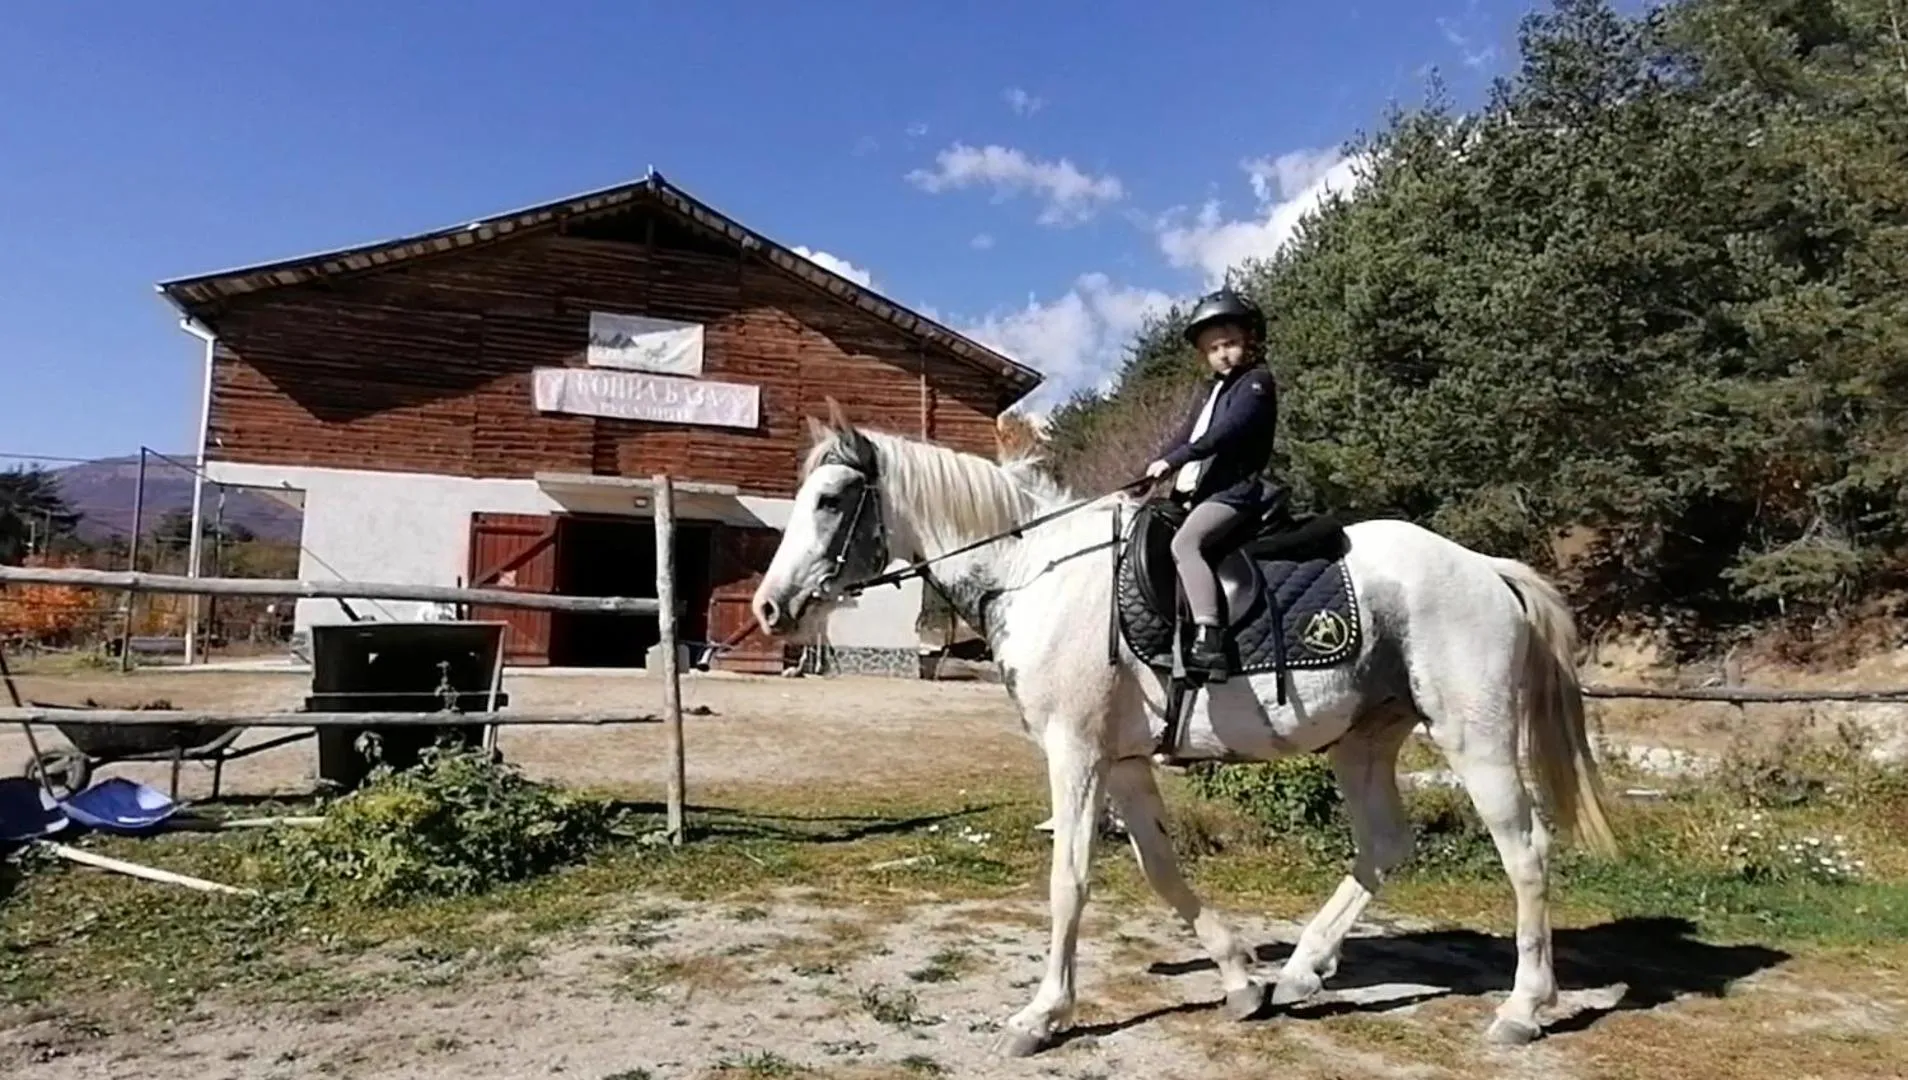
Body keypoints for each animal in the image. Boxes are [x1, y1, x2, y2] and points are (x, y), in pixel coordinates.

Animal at [750, 401, 1618, 1058]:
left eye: (830, 501)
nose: (768, 608)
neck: (1035, 574)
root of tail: (1486, 568)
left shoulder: (1076, 754)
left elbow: (1070, 880)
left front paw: (1042, 1015)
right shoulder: (1125, 761)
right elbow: (1162, 872)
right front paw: (1240, 981)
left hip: (1476, 741)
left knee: (1525, 855)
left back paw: (1521, 1010)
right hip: (1365, 740)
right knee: (1383, 846)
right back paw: (1301, 973)